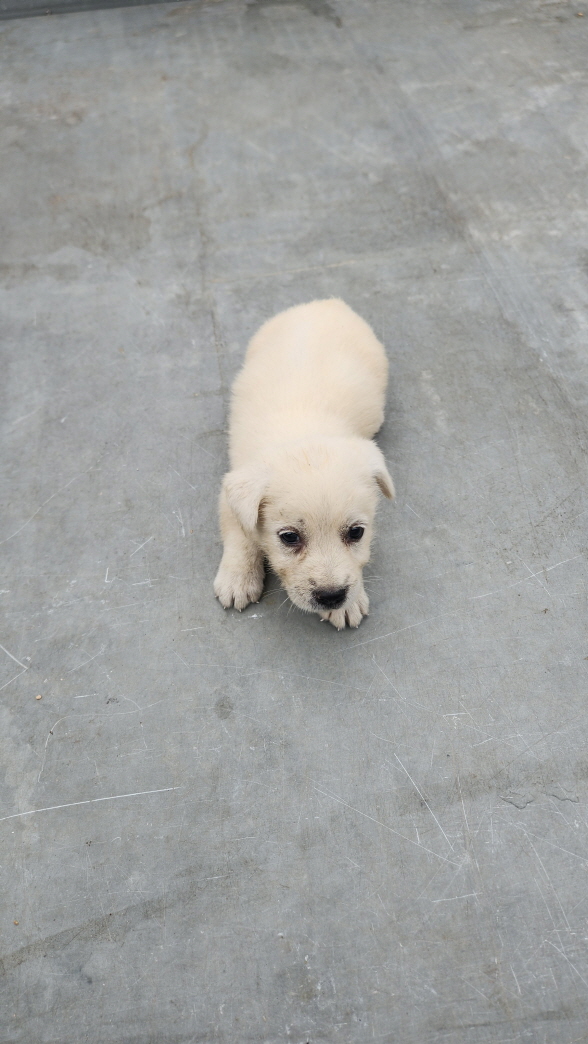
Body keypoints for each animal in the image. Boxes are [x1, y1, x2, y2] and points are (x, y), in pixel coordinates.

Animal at [214, 298, 392, 630]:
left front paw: (348, 604)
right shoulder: (231, 488)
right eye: (289, 537)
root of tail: (327, 303)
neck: (304, 432)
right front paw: (238, 579)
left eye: (356, 533)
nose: (332, 596)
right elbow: (239, 533)